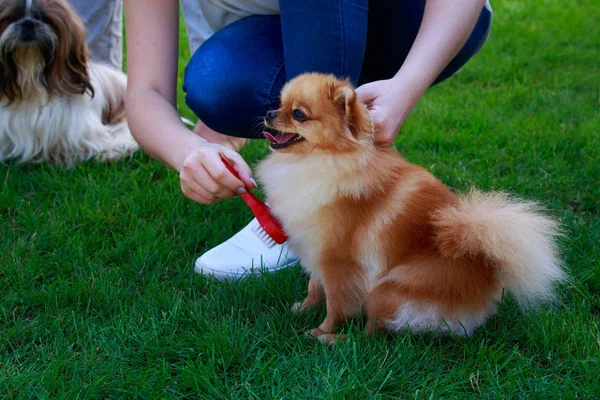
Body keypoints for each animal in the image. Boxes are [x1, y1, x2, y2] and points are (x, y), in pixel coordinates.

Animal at [258, 72, 568, 344]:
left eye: (298, 114)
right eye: (280, 103)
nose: (269, 113)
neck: (323, 160)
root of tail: (484, 278)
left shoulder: (339, 263)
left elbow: (337, 305)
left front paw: (321, 329)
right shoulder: (314, 249)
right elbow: (314, 285)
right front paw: (304, 308)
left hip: (386, 290)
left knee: (370, 336)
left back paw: (333, 341)